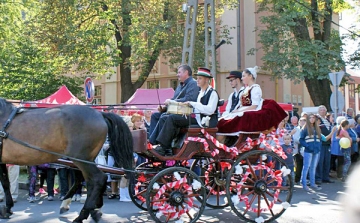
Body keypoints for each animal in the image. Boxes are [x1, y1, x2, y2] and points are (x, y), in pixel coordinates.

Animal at [0, 98, 134, 222]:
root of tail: (100, 114)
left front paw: (6, 209)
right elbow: (6, 183)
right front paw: (7, 208)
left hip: (81, 159)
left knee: (98, 179)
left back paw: (82, 215)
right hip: (84, 160)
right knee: (87, 180)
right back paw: (92, 209)